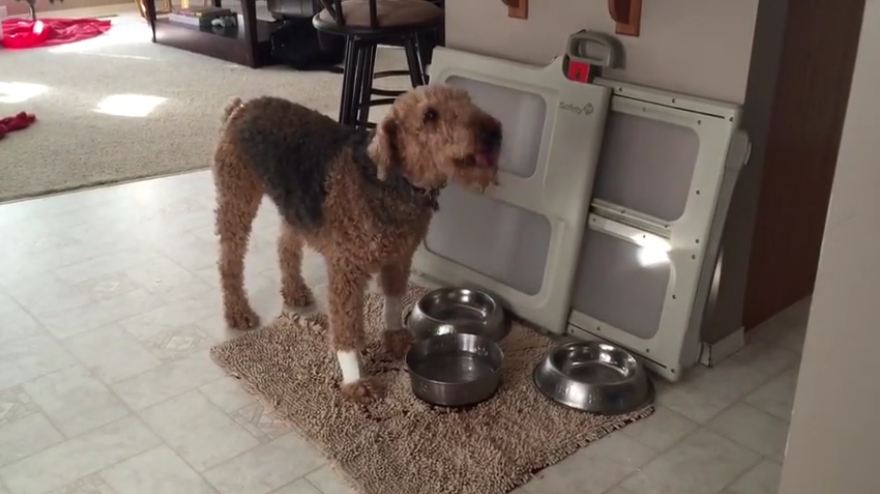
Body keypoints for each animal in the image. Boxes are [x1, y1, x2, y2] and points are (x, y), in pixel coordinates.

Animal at [211, 85, 502, 402]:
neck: (395, 183)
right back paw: (238, 312)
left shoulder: (399, 257)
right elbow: (347, 328)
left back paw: (295, 291)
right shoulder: (346, 270)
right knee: (229, 261)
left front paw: (396, 339)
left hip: (295, 208)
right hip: (238, 198)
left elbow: (393, 300)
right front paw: (356, 381)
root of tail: (241, 107)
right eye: (429, 115)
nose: (493, 133)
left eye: (467, 100)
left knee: (285, 245)